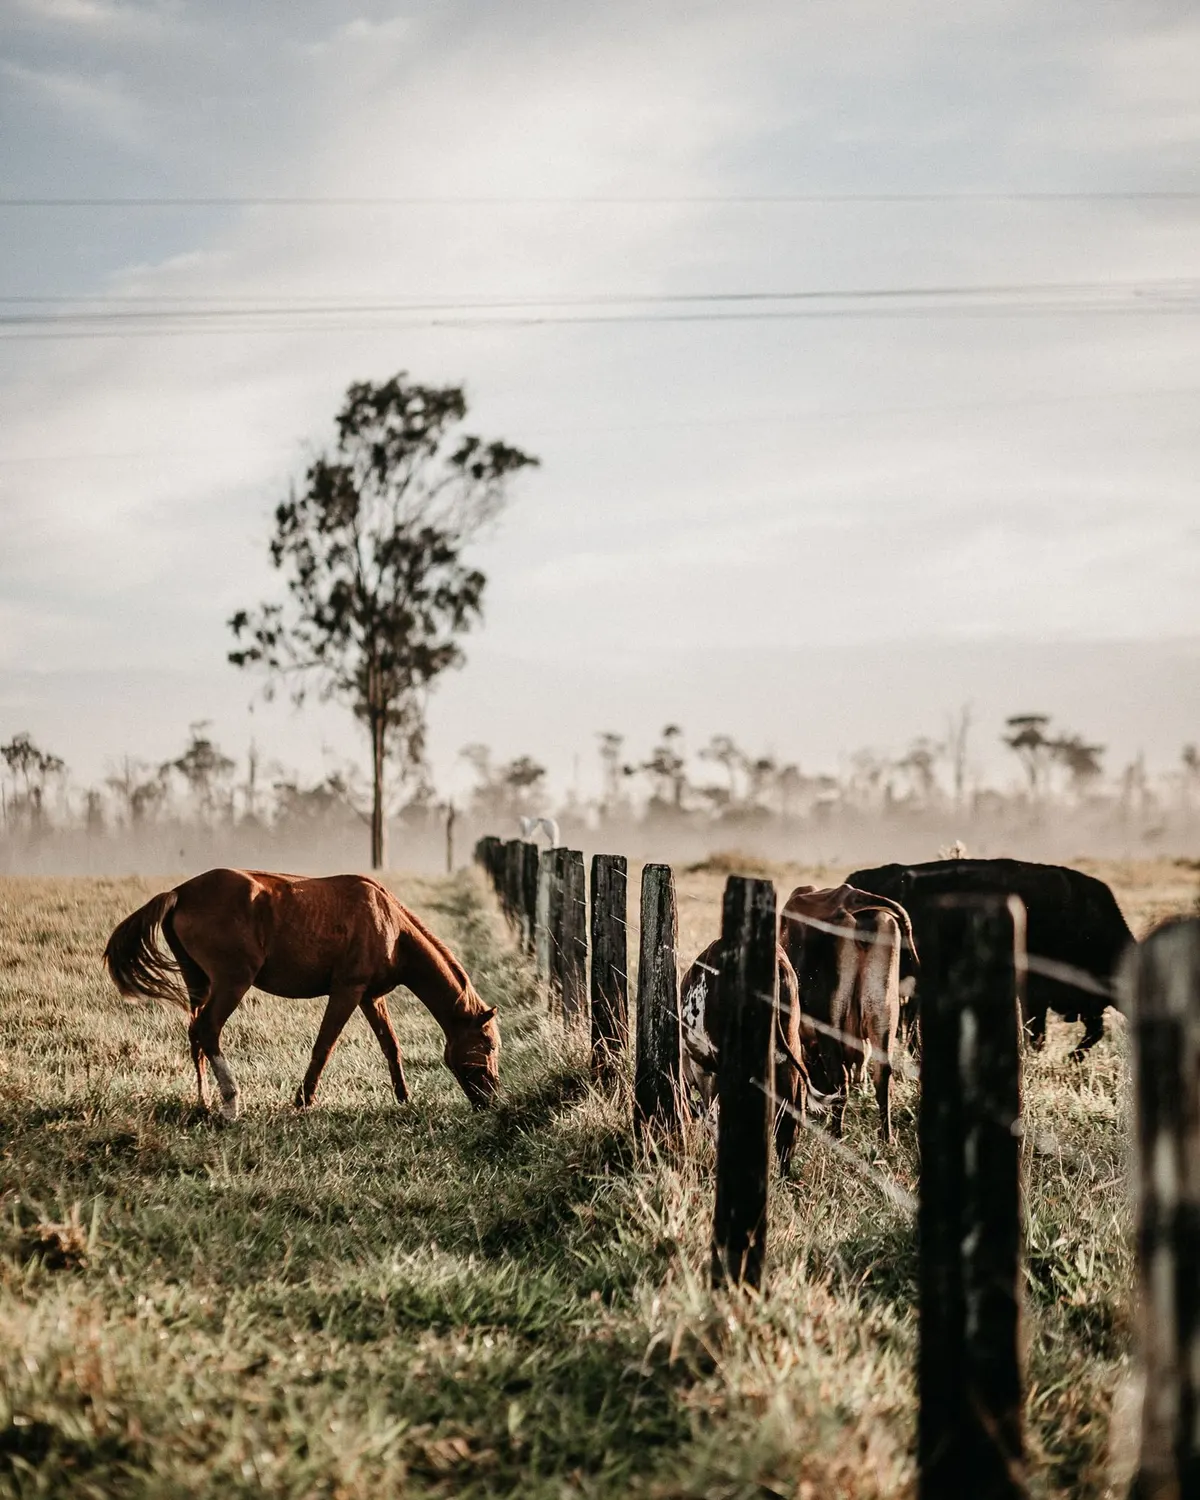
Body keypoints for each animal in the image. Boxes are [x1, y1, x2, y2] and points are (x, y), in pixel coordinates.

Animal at [102, 868, 499, 1120]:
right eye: (490, 1045)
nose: (493, 1100)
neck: (390, 925)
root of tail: (180, 893)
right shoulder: (347, 992)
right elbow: (324, 1046)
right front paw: (303, 1100)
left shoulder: (370, 997)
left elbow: (390, 1045)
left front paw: (403, 1098)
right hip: (232, 983)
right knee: (208, 1030)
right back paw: (231, 1103)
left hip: (197, 981)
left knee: (195, 1034)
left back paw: (204, 1101)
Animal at [779, 884, 918, 1143]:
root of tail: (852, 897)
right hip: (884, 1014)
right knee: (883, 1075)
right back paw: (886, 1137)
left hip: (830, 1022)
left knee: (840, 1078)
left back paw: (836, 1133)